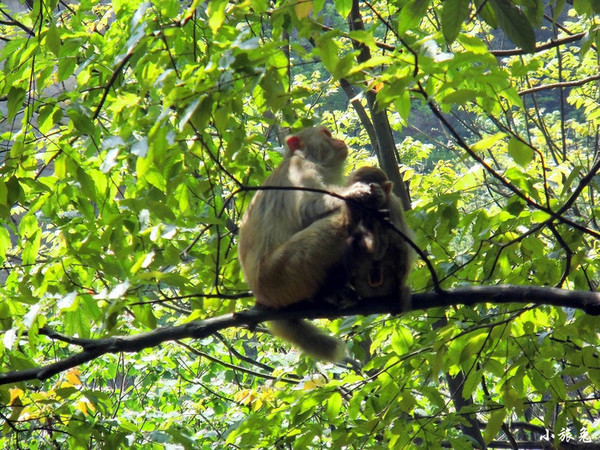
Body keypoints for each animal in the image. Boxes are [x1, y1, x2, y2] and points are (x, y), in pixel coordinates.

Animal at [237, 125, 382, 362]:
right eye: (326, 134)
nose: (339, 140)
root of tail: (260, 296)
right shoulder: (300, 169)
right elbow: (311, 207)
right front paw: (356, 194)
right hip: (279, 274)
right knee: (338, 222)